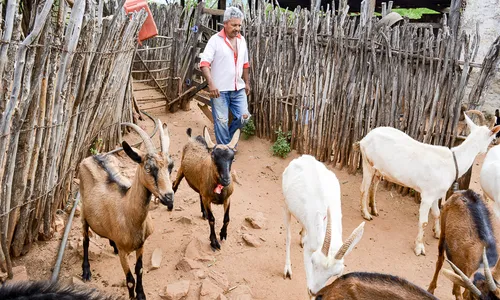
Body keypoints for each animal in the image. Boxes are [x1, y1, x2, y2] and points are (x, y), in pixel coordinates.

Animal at [79, 120, 175, 300]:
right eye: (148, 168)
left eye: (170, 167)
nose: (169, 197)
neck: (128, 212)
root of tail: (92, 156)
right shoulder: (125, 252)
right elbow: (130, 279)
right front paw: (133, 295)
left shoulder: (141, 245)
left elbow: (140, 270)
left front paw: (141, 294)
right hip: (82, 211)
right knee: (86, 240)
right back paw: (86, 271)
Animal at [282, 156, 364, 296]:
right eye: (313, 261)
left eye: (335, 273)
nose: (314, 291)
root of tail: (304, 157)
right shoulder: (308, 250)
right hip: (287, 207)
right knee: (288, 236)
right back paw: (287, 269)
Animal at [356, 111, 500, 256]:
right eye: (491, 136)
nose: (493, 142)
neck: (452, 161)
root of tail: (365, 138)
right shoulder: (427, 196)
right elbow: (424, 222)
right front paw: (419, 247)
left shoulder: (436, 195)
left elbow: (437, 214)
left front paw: (437, 233)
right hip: (368, 163)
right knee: (364, 188)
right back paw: (366, 214)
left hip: (378, 170)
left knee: (374, 186)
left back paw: (374, 210)